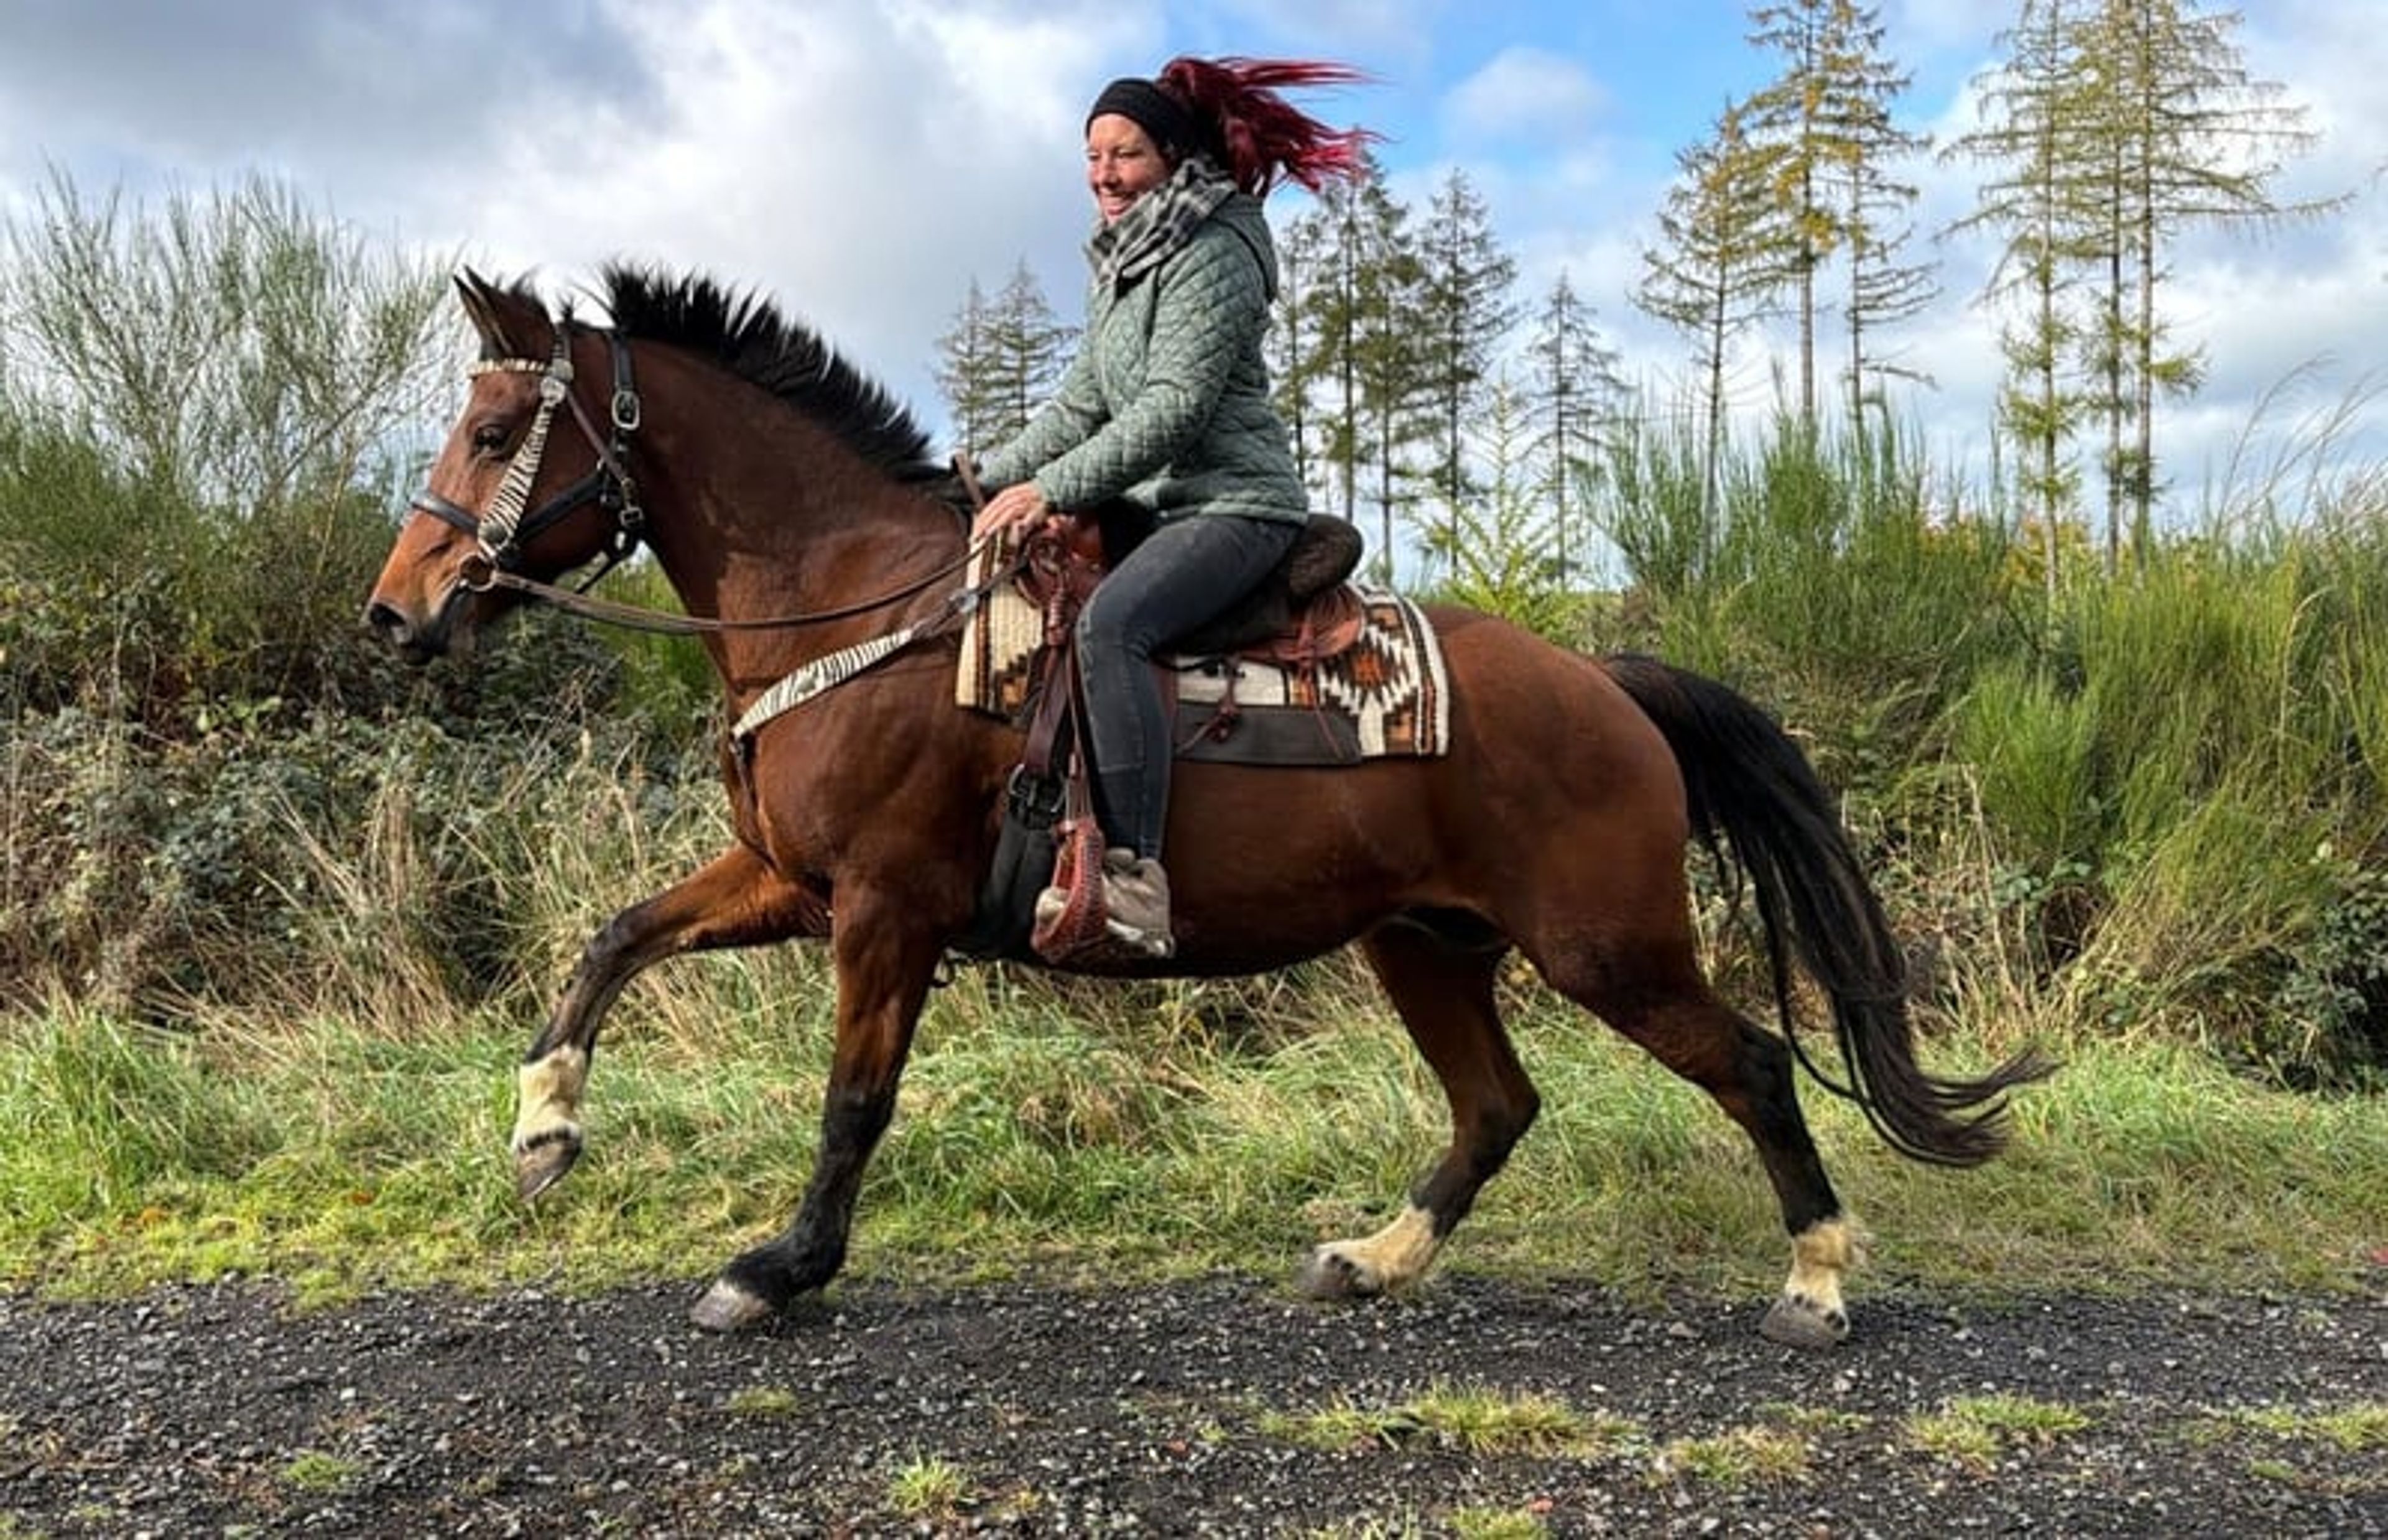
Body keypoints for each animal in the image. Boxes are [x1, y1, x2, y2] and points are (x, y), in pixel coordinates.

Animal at [365, 265, 2048, 1344]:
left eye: (499, 431)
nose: (398, 611)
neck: (858, 603)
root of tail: (1612, 682)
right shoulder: (790, 879)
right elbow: (613, 936)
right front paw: (543, 1125)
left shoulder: (884, 909)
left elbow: (852, 1099)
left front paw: (778, 1266)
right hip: (1424, 942)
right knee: (1497, 1104)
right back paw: (1371, 1257)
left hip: (1607, 946)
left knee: (1751, 1064)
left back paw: (1817, 1280)